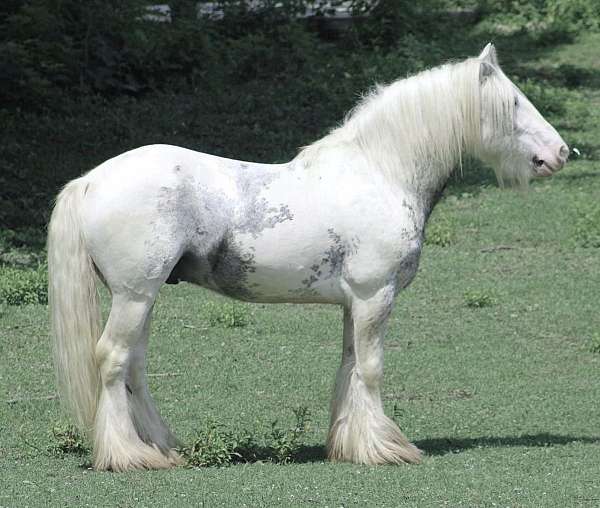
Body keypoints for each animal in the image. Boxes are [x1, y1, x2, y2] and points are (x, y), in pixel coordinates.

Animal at [47, 44, 568, 472]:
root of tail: (91, 181)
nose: (561, 152)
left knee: (134, 366)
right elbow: (372, 369)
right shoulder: (375, 297)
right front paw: (385, 448)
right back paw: (127, 456)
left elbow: (350, 366)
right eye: (513, 102)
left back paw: (161, 449)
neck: (381, 172)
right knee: (112, 360)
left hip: (143, 298)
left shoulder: (355, 304)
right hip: (134, 296)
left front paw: (350, 445)